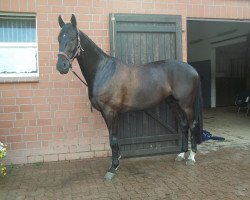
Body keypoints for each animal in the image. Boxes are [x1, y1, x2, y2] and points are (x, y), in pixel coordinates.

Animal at [56, 13, 203, 180]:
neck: (103, 71)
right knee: (184, 125)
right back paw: (181, 154)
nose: (61, 66)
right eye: (59, 38)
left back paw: (191, 157)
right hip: (172, 102)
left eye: (73, 37)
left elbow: (112, 139)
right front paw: (118, 160)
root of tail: (192, 69)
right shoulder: (108, 113)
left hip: (186, 104)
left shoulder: (110, 112)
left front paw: (112, 168)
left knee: (192, 125)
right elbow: (114, 137)